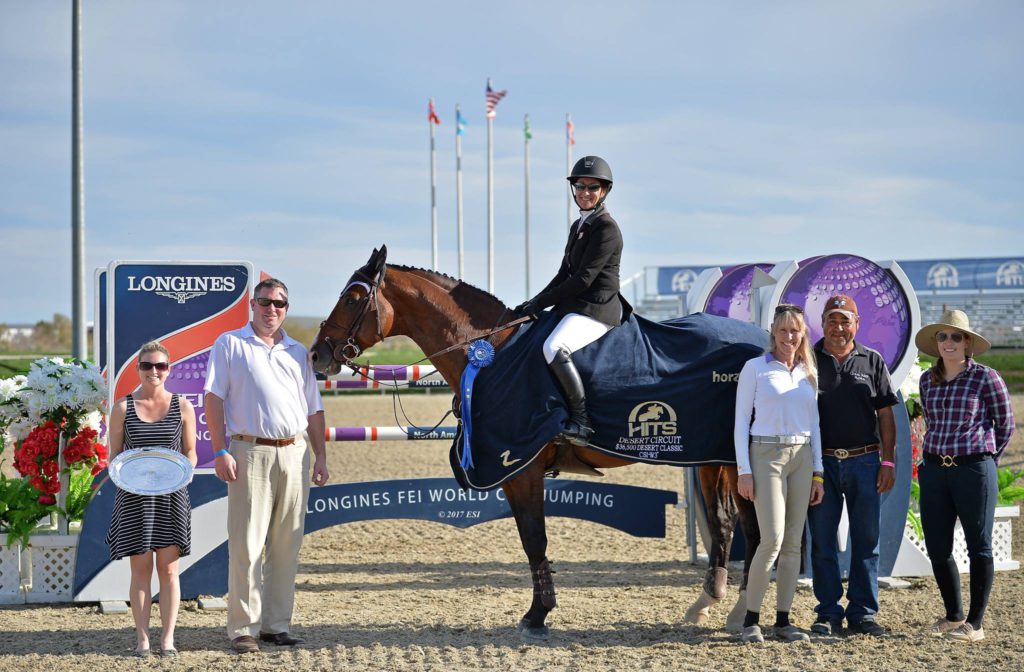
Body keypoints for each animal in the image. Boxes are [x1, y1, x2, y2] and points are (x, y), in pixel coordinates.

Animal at [311, 247, 761, 639]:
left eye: (353, 298)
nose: (317, 356)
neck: (492, 351)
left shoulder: (520, 468)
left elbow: (534, 539)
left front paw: (537, 615)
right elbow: (532, 542)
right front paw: (539, 611)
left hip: (734, 459)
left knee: (754, 529)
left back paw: (743, 612)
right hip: (710, 457)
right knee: (725, 522)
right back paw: (707, 603)